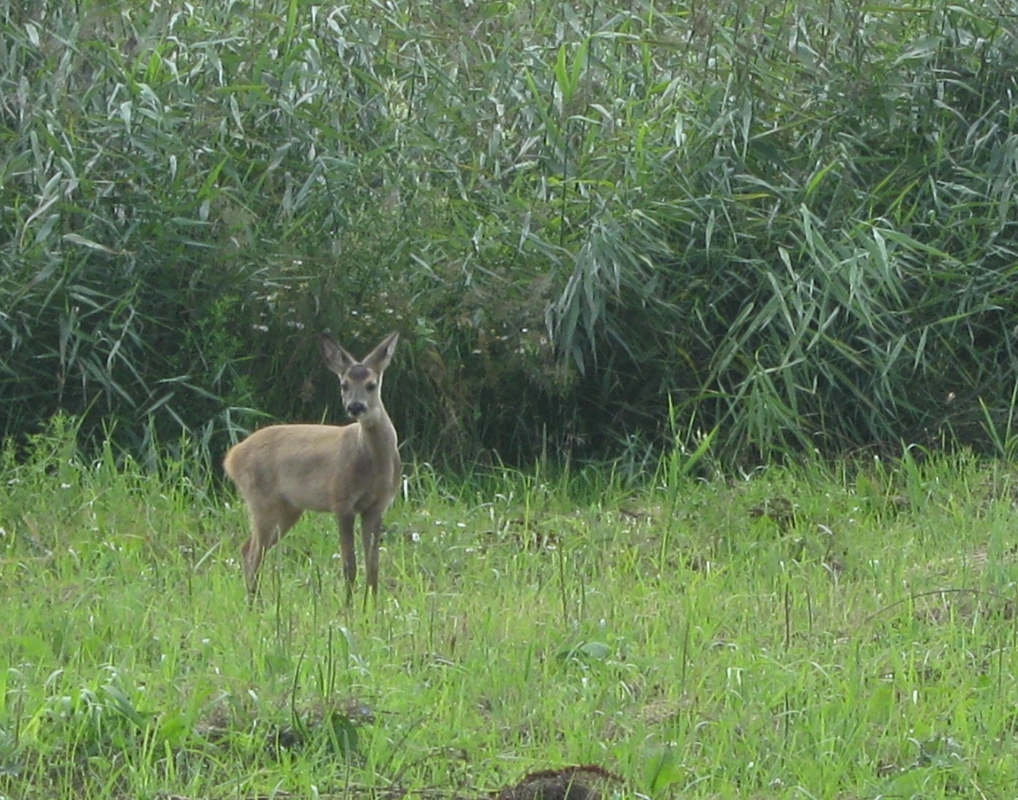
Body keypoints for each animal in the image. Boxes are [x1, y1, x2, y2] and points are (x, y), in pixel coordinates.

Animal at [223, 331, 401, 605]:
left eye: (371, 385)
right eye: (344, 385)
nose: (355, 407)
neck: (373, 464)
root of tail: (232, 457)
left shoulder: (377, 506)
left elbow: (373, 566)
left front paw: (372, 607)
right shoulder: (341, 501)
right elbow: (350, 565)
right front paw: (348, 609)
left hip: (289, 508)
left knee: (246, 548)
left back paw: (255, 602)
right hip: (261, 499)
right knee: (254, 553)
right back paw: (255, 604)